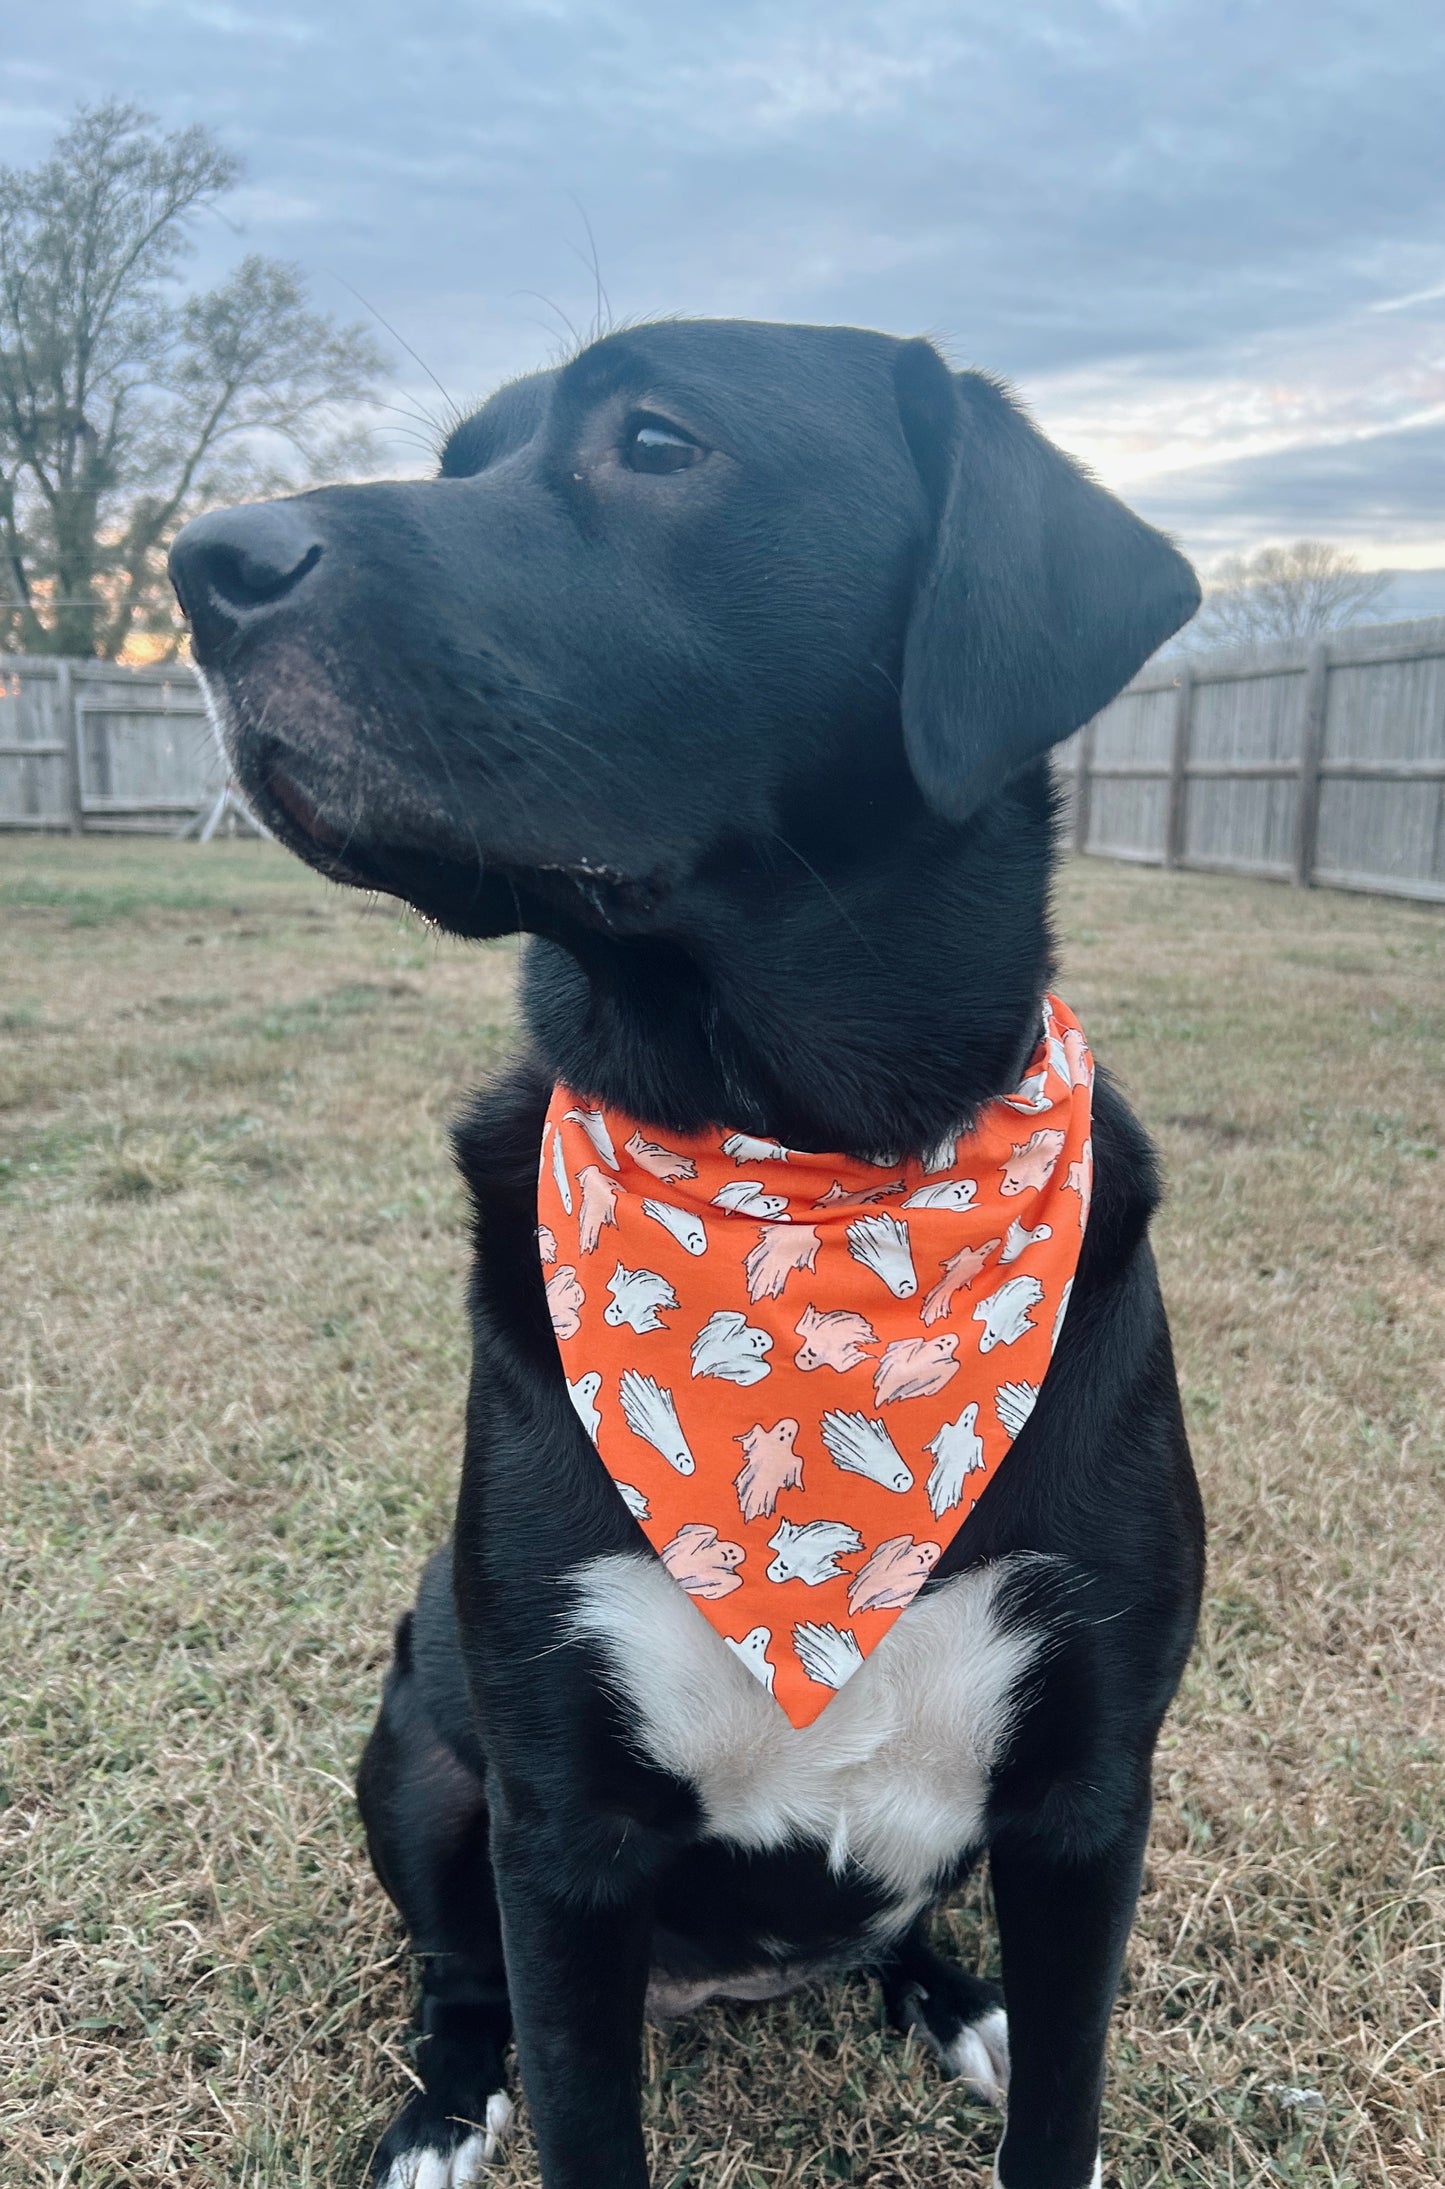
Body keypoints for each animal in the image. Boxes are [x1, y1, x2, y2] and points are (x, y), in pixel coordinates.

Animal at [169, 313, 1208, 2189]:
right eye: (463, 459)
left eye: (657, 442)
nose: (201, 564)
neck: (812, 1181)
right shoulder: (558, 1821)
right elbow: (580, 2097)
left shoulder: (1092, 1783)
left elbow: (1066, 2090)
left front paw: (1020, 2057)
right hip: (419, 1749)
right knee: (456, 1972)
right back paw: (440, 2106)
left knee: (909, 1934)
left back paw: (959, 2002)